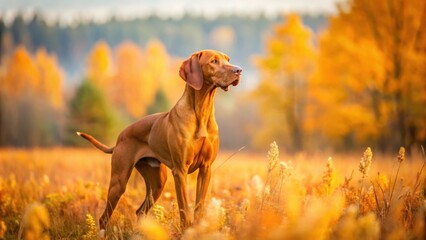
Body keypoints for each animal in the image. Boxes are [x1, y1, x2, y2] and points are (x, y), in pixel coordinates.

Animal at [77, 50, 243, 232]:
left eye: (227, 59)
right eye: (214, 61)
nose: (239, 70)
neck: (202, 111)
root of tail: (120, 136)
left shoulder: (206, 169)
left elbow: (199, 205)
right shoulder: (180, 171)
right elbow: (184, 208)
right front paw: (186, 230)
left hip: (157, 183)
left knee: (140, 211)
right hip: (118, 181)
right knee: (104, 217)